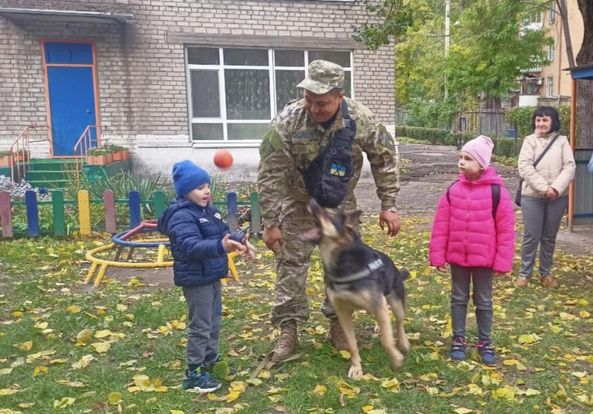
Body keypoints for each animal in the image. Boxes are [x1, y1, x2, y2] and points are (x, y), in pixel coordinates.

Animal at [302, 200, 410, 378]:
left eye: (328, 214)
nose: (311, 200)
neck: (341, 263)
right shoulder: (343, 311)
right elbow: (351, 343)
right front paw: (356, 367)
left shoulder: (378, 305)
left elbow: (388, 341)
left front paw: (396, 358)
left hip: (395, 303)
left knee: (399, 322)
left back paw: (404, 343)